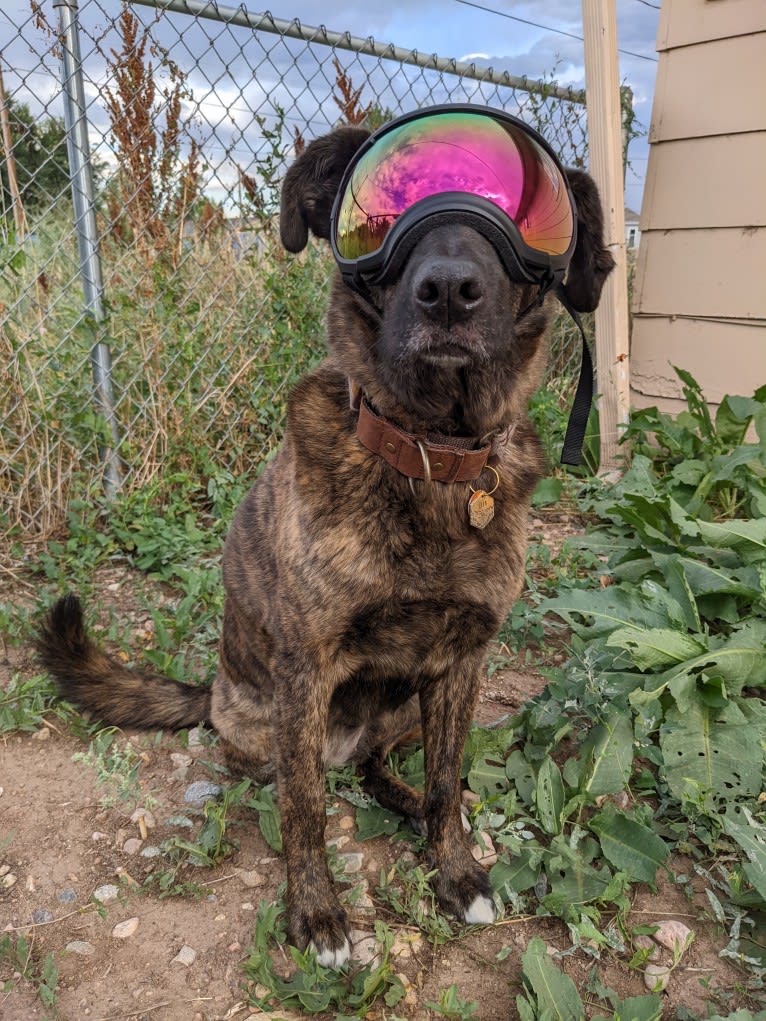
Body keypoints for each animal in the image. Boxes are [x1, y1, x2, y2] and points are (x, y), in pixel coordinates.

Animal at [37, 121, 616, 963]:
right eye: (378, 212)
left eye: (526, 211)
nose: (449, 290)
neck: (431, 457)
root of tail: (213, 686)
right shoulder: (306, 667)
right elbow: (305, 807)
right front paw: (315, 913)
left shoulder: (463, 662)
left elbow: (449, 776)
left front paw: (453, 866)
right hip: (262, 717)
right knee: (284, 771)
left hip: (406, 705)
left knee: (386, 765)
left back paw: (401, 796)